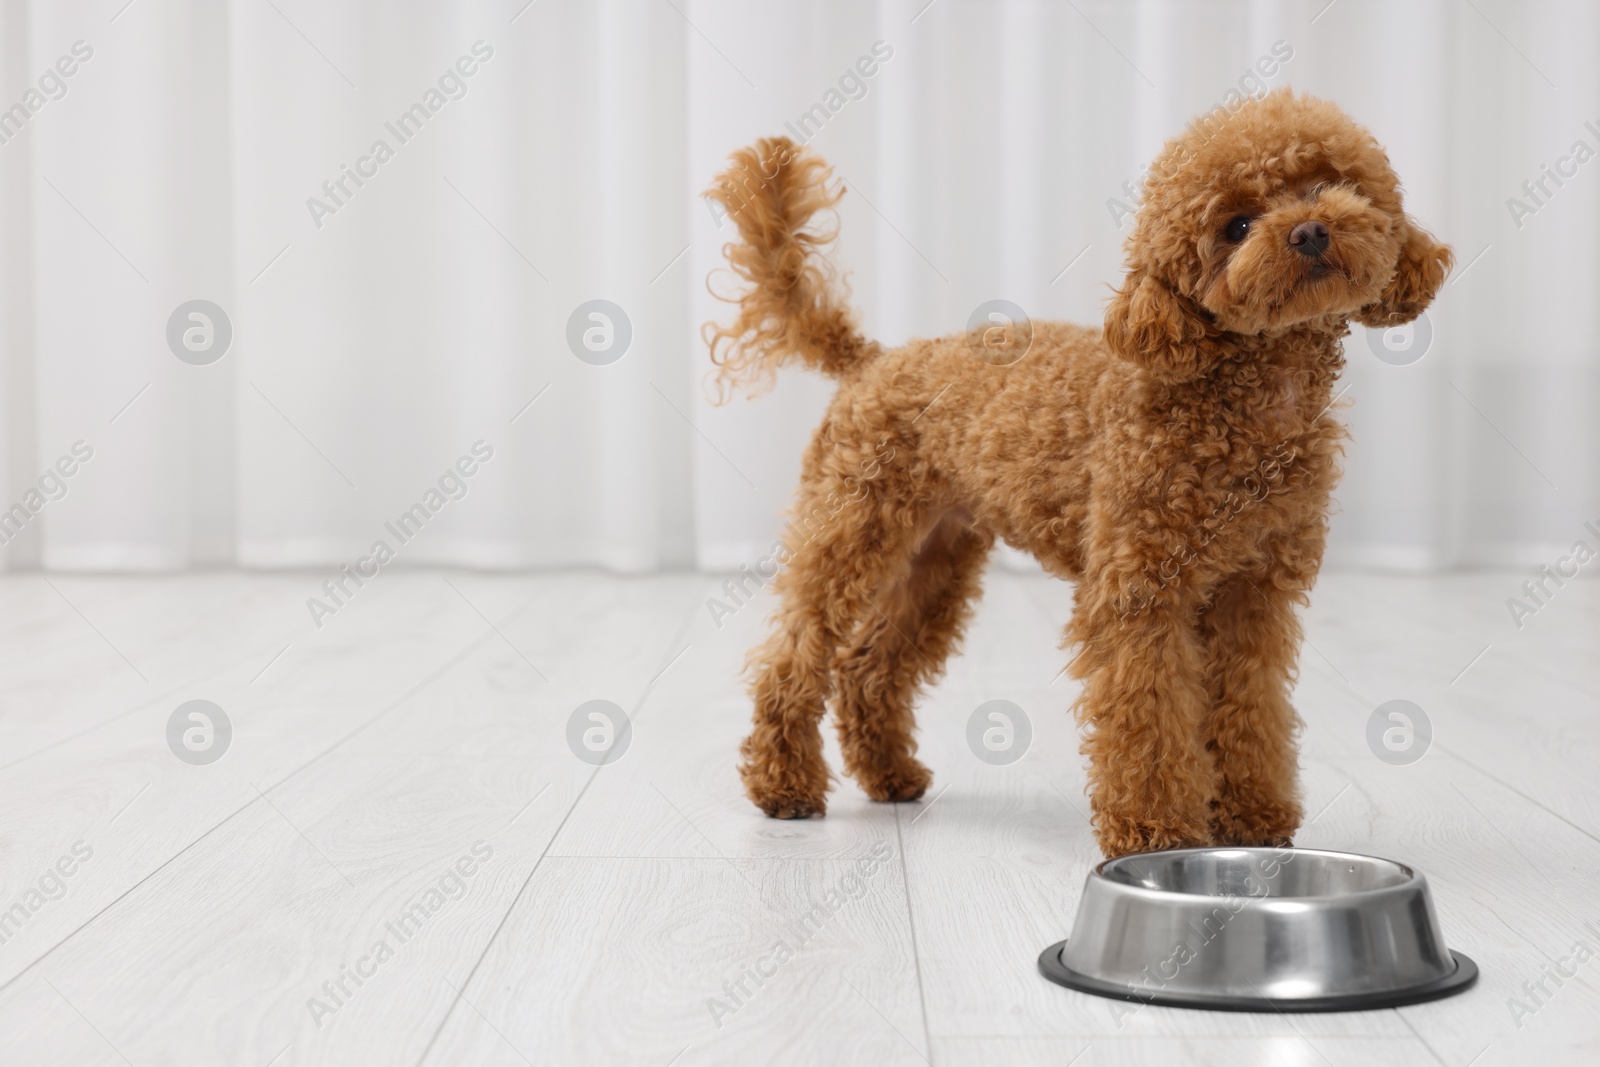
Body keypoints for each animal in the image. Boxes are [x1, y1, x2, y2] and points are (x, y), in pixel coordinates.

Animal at [700, 89, 1452, 857]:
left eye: (1328, 184)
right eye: (1236, 226)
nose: (1308, 231)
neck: (1243, 402)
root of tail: (870, 360)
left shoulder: (1254, 593)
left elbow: (1250, 706)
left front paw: (1253, 816)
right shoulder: (1138, 590)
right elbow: (1146, 714)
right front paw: (1157, 834)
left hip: (938, 555)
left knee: (867, 664)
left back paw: (889, 774)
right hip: (851, 525)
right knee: (795, 652)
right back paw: (783, 784)